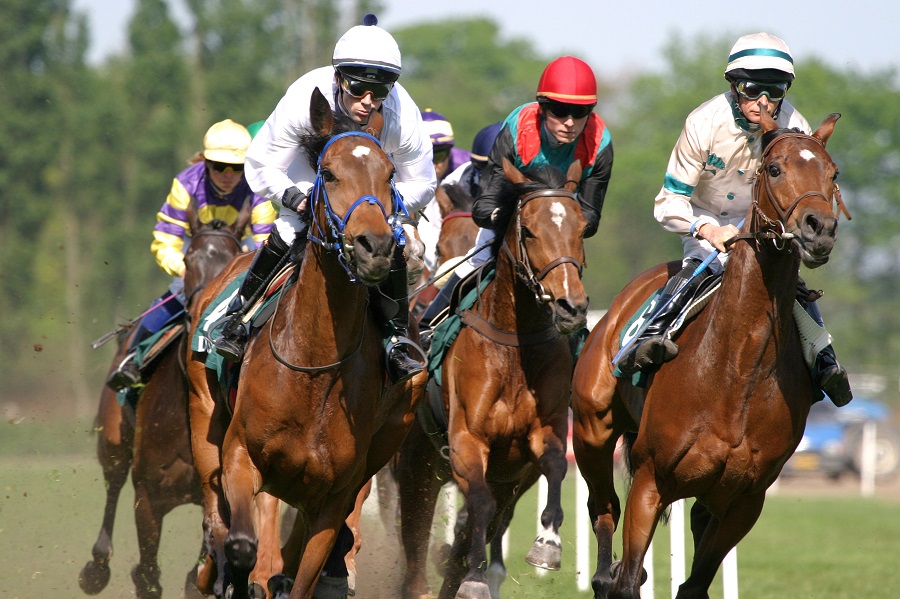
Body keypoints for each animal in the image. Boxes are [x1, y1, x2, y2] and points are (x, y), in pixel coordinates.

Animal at [79, 198, 253, 599]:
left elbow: (197, 575)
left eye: (236, 258)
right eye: (188, 259)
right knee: (113, 482)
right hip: (112, 438)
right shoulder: (148, 494)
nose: (207, 311)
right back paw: (96, 567)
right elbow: (147, 575)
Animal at [185, 88, 426, 599]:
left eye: (389, 174)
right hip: (203, 417)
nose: (375, 246)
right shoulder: (241, 458)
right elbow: (241, 545)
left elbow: (302, 575)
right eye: (328, 173)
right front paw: (234, 577)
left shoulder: (333, 499)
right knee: (216, 522)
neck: (314, 364)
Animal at [400, 159, 592, 599]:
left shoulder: (540, 437)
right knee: (414, 549)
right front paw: (475, 578)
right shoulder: (467, 441)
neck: (512, 348)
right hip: (415, 467)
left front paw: (547, 545)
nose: (570, 307)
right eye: (530, 231)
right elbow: (480, 507)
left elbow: (554, 466)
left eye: (581, 228)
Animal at [572, 112, 848, 599]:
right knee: (604, 514)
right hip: (592, 432)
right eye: (774, 169)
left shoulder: (744, 501)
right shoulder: (650, 479)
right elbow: (627, 576)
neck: (735, 370)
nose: (819, 229)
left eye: (832, 174)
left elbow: (694, 584)